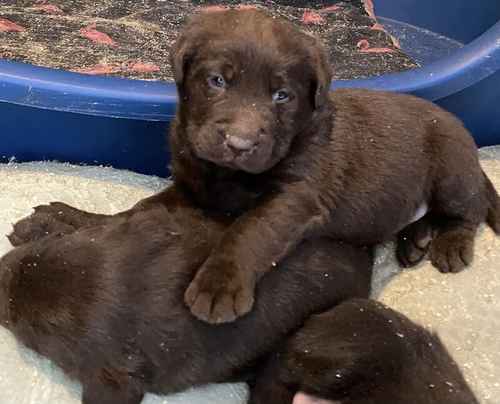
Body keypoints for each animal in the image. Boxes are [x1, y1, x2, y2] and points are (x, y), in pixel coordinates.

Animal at [164, 8, 500, 322]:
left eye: (282, 96)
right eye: (217, 81)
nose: (239, 143)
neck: (226, 173)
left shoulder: (297, 195)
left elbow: (250, 230)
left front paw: (218, 286)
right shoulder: (188, 177)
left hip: (451, 169)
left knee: (469, 210)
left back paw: (451, 245)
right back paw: (416, 240)